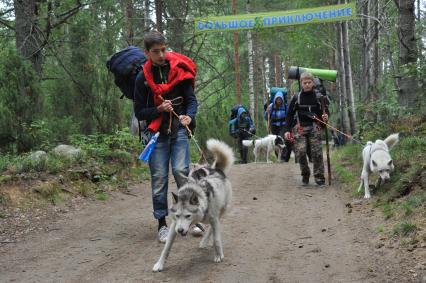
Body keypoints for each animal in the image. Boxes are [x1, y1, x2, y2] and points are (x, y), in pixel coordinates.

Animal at [152, 140, 235, 272]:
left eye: (188, 216)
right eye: (177, 215)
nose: (180, 231)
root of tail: (218, 171)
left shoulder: (214, 219)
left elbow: (216, 239)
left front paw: (218, 255)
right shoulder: (174, 225)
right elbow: (166, 248)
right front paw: (159, 264)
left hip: (221, 211)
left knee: (212, 229)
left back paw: (205, 241)